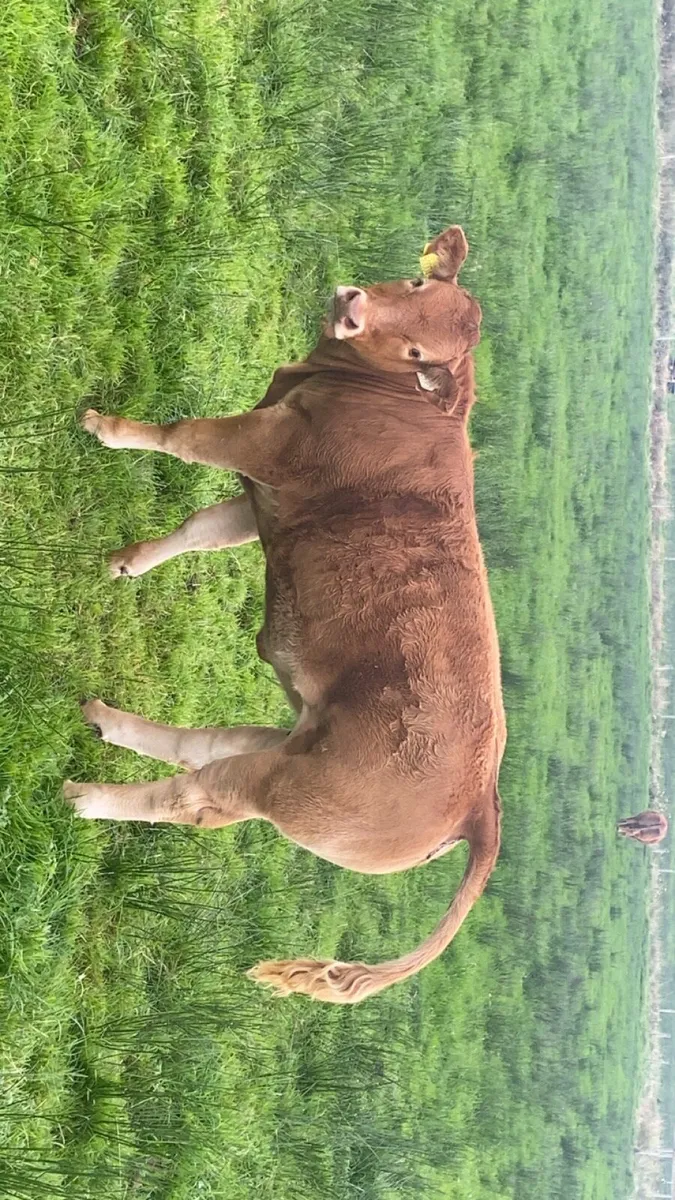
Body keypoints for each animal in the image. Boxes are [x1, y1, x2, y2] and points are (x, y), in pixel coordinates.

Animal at [64, 225, 506, 1004]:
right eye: (417, 286)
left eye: (421, 357)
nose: (352, 305)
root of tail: (480, 803)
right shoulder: (267, 499)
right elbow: (201, 529)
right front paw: (130, 562)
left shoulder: (266, 444)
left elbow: (182, 435)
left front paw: (106, 428)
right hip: (296, 740)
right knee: (205, 748)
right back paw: (104, 721)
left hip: (288, 789)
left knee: (196, 798)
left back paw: (85, 797)